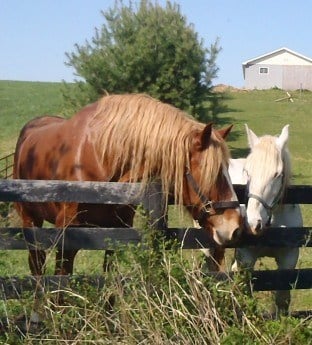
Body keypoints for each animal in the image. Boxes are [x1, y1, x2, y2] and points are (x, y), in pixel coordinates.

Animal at [13, 92, 243, 276]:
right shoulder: (67, 238)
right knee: (37, 266)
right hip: (30, 221)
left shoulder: (117, 234)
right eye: (213, 173)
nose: (235, 228)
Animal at [232, 123, 302, 314]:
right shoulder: (246, 257)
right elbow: (246, 293)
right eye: (247, 171)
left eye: (277, 174)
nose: (252, 223)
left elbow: (282, 299)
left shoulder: (289, 258)